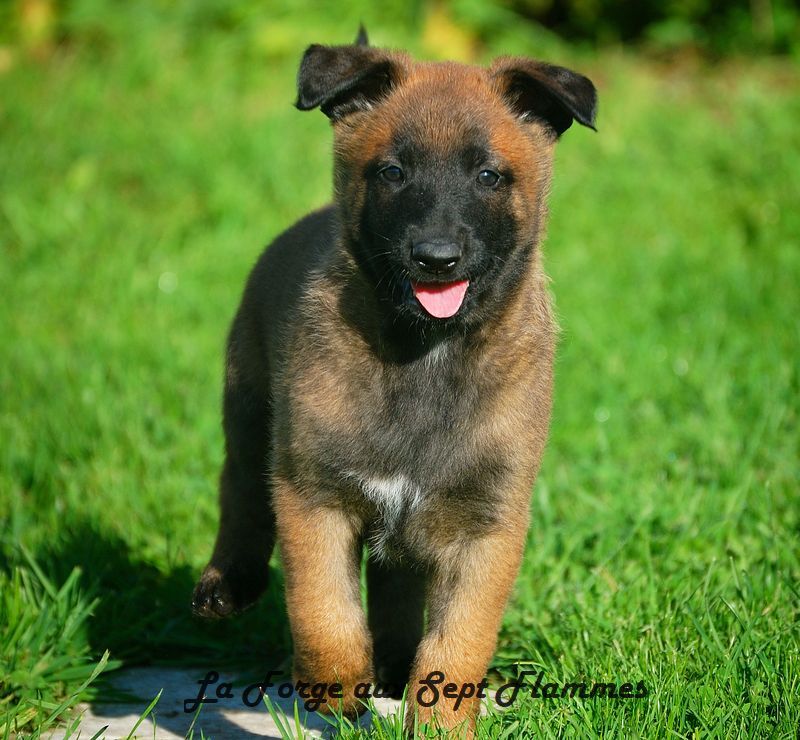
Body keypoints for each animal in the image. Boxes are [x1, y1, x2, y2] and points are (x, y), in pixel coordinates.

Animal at [192, 27, 592, 736]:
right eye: (392, 172)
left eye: (489, 176)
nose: (436, 258)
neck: (425, 354)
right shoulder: (313, 494)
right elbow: (324, 612)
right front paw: (336, 690)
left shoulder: (487, 526)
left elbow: (458, 642)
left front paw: (437, 717)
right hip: (248, 407)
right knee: (241, 493)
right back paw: (226, 584)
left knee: (397, 594)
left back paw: (393, 666)